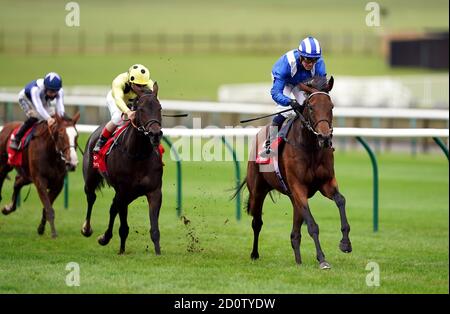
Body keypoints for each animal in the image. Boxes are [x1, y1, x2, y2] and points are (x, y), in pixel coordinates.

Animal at [81, 83, 164, 255]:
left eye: (159, 108)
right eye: (141, 109)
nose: (155, 134)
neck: (138, 154)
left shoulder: (154, 191)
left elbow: (154, 229)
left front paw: (158, 253)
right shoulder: (124, 191)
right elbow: (123, 226)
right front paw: (121, 251)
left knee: (113, 207)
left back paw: (105, 237)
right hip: (91, 180)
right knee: (91, 197)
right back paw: (87, 229)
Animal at [236, 76, 352, 270]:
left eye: (331, 106)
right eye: (311, 107)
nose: (325, 138)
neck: (310, 147)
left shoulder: (326, 183)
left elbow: (340, 200)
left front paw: (345, 242)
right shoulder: (299, 188)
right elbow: (312, 225)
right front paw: (322, 259)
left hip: (292, 198)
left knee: (295, 234)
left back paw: (298, 261)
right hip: (258, 190)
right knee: (257, 222)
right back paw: (254, 254)